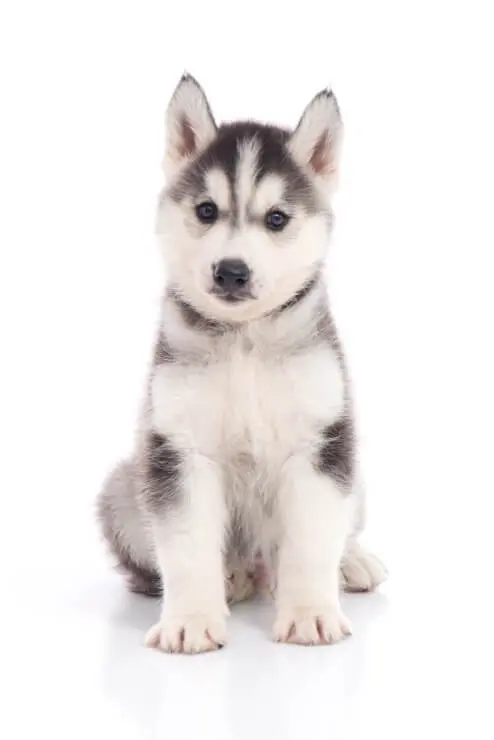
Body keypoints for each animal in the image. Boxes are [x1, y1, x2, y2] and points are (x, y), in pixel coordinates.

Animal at [98, 75, 388, 652]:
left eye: (277, 219)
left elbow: (313, 539)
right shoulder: (178, 449)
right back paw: (231, 577)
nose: (231, 270)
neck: (245, 337)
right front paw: (189, 619)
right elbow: (186, 545)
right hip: (126, 488)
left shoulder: (322, 441)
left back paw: (352, 563)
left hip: (355, 473)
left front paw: (310, 612)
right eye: (207, 211)